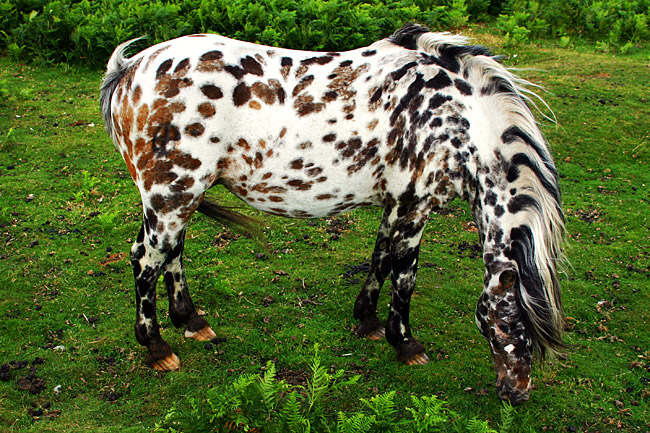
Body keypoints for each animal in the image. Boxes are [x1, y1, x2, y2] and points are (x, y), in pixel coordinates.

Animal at [100, 22, 560, 402]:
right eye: (508, 325)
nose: (518, 394)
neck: (454, 120)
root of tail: (131, 68)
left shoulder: (395, 205)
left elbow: (379, 259)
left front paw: (367, 321)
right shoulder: (415, 207)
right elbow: (405, 274)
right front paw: (405, 343)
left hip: (180, 196)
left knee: (171, 254)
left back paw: (191, 321)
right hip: (172, 194)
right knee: (145, 259)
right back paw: (157, 347)